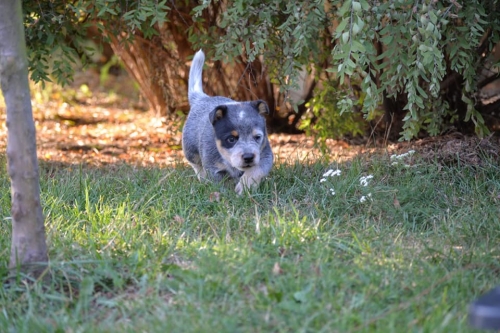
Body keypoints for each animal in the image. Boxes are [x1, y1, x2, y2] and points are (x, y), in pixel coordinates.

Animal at [182, 50, 274, 193]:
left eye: (257, 137)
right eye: (231, 139)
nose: (248, 156)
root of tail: (202, 98)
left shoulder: (265, 156)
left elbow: (255, 171)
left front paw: (245, 187)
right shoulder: (213, 168)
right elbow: (219, 184)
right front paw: (225, 194)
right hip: (190, 149)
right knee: (196, 165)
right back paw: (202, 179)